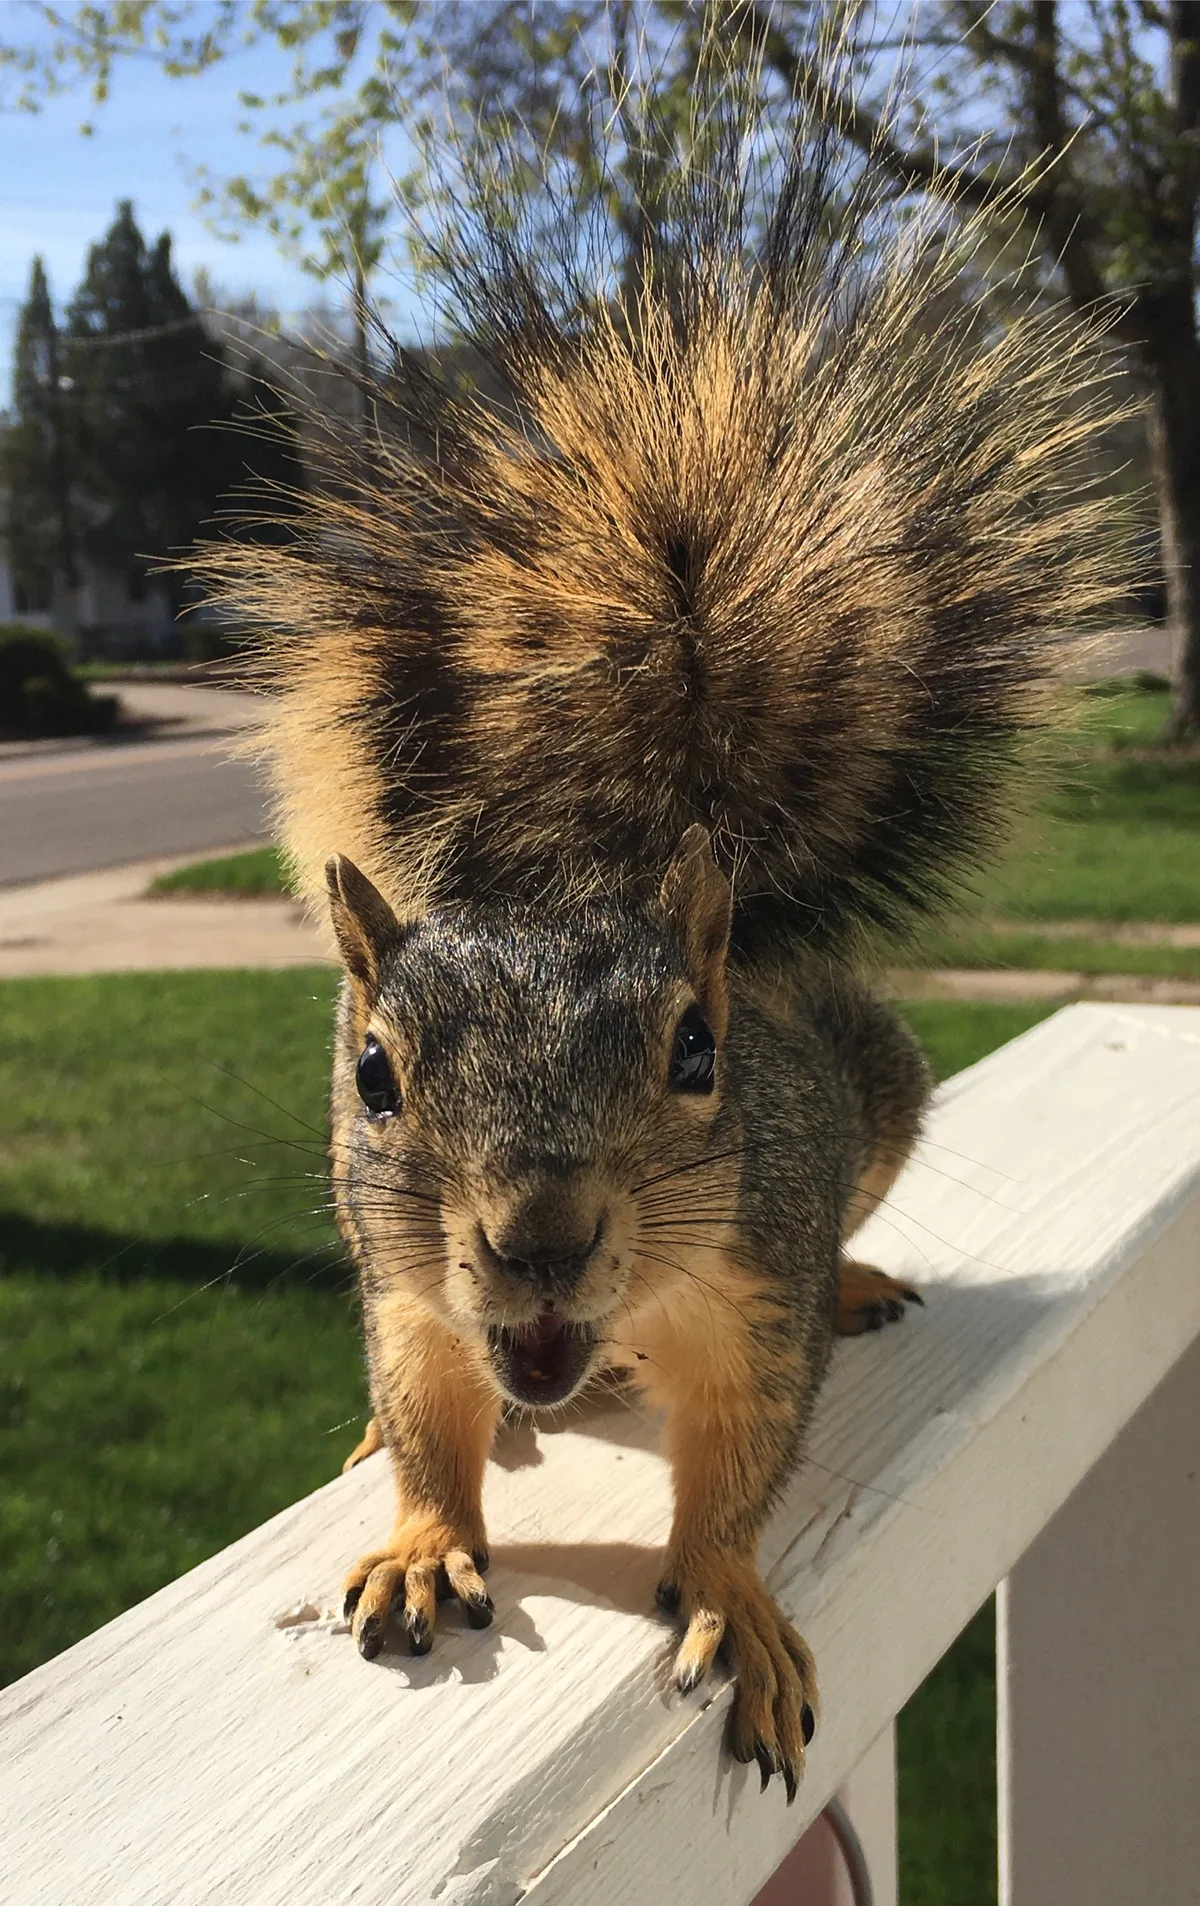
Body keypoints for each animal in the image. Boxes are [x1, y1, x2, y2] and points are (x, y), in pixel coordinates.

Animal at [197, 23, 1133, 1800]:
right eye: (372, 1074)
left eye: (699, 1055)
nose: (540, 1238)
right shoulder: (412, 1291)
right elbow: (428, 1411)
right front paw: (420, 1533)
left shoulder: (753, 1286)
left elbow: (750, 1457)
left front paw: (734, 1599)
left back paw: (861, 1275)